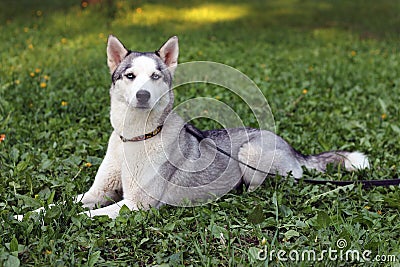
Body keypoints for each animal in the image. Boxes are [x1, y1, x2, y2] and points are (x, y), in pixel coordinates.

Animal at [18, 35, 368, 220]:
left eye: (155, 76)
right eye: (129, 76)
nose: (143, 95)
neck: (135, 138)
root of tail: (291, 147)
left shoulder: (135, 206)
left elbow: (77, 216)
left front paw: (59, 224)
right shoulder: (97, 192)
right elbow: (58, 205)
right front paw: (23, 216)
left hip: (251, 153)